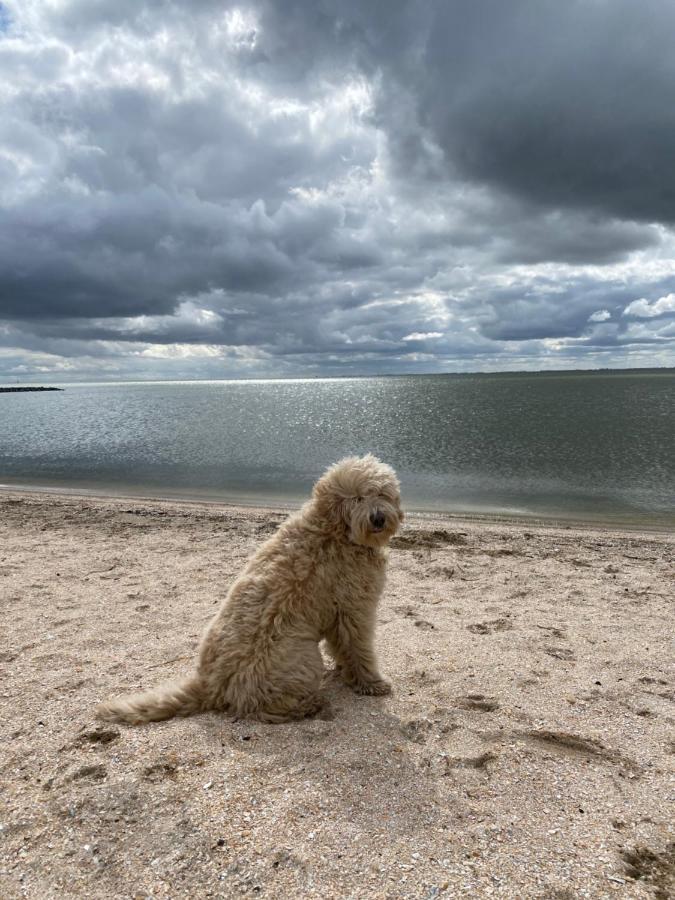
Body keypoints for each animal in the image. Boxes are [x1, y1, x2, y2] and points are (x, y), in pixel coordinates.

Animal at [97, 458, 404, 724]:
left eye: (380, 493)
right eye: (357, 498)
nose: (378, 518)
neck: (335, 531)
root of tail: (210, 684)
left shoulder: (341, 614)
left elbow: (344, 650)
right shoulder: (354, 609)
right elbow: (359, 649)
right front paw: (371, 683)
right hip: (301, 659)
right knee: (257, 707)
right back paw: (308, 706)